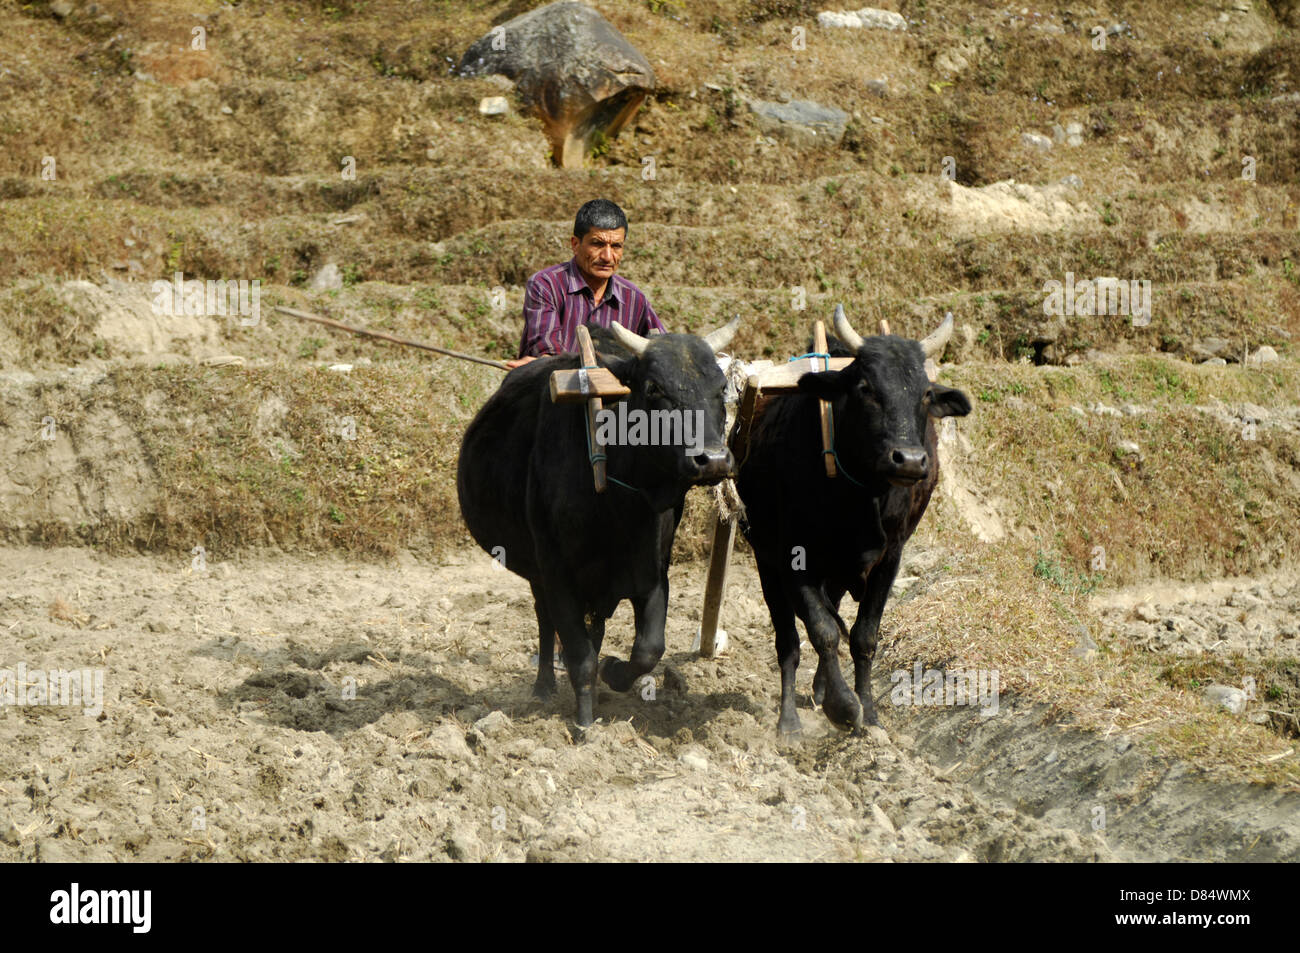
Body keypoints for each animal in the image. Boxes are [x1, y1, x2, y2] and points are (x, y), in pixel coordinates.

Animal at [457, 315, 743, 722]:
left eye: (721, 388)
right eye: (654, 387)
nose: (713, 460)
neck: (617, 501)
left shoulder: (652, 572)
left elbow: (648, 649)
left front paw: (613, 672)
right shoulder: (556, 574)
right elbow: (580, 655)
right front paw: (584, 722)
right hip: (536, 570)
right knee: (545, 620)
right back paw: (544, 687)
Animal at [738, 304, 972, 738]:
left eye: (925, 393)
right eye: (866, 387)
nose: (910, 461)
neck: (864, 495)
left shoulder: (889, 559)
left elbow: (864, 636)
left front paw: (869, 710)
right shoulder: (792, 558)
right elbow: (822, 631)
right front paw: (843, 707)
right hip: (765, 559)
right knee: (788, 642)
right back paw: (790, 722)